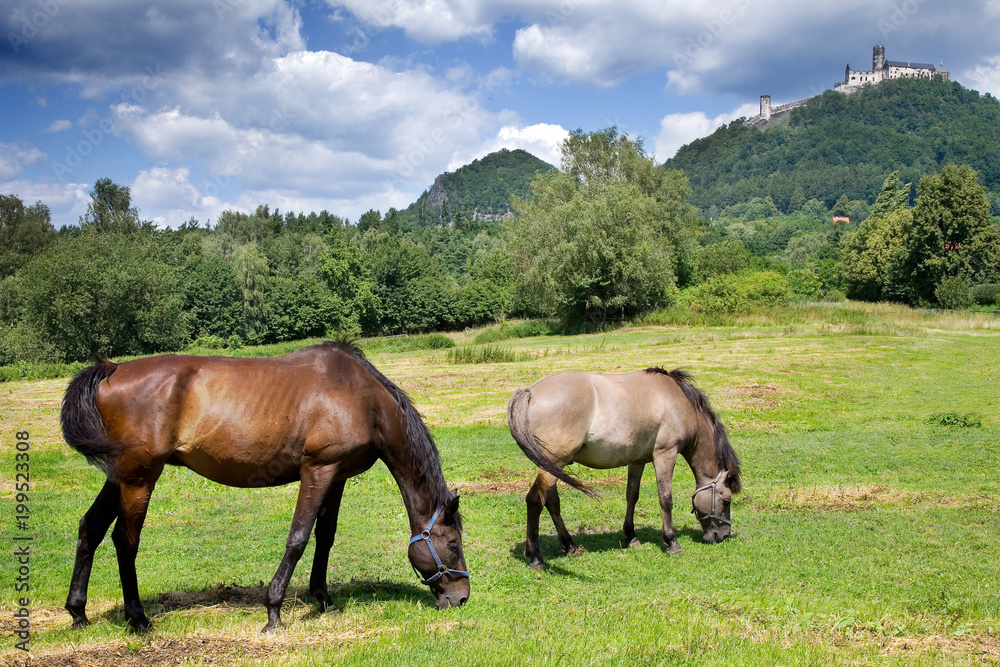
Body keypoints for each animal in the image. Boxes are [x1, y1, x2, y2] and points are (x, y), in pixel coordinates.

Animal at [60, 342, 470, 636]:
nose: (462, 597)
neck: (364, 399)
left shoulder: (337, 477)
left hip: (120, 475)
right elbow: (298, 539)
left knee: (90, 528)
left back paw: (78, 613)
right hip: (139, 476)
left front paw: (323, 599)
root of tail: (112, 368)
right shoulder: (318, 470)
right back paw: (138, 619)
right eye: (453, 544)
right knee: (124, 540)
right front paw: (273, 611)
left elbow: (325, 536)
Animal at [512, 366, 740, 568]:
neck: (678, 402)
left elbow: (632, 495)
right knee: (535, 501)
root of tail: (530, 391)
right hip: (554, 463)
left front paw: (631, 536)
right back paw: (536, 557)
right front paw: (672, 542)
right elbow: (665, 499)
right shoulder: (665, 454)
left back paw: (569, 546)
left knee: (551, 502)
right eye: (726, 500)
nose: (723, 536)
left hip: (552, 466)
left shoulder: (637, 461)